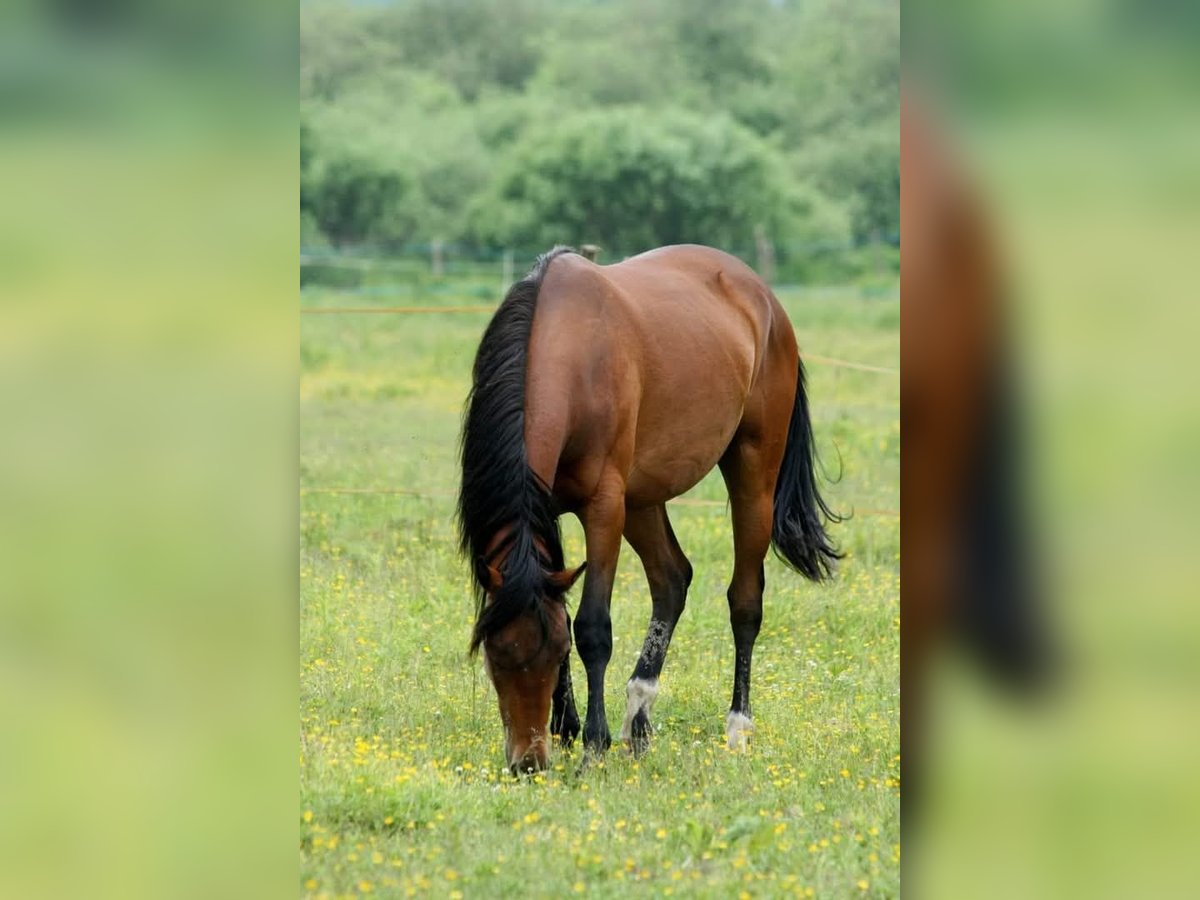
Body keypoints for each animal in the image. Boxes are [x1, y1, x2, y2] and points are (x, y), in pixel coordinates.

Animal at [453, 244, 840, 777]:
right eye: (494, 656)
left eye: (550, 656)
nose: (528, 763)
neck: (569, 352)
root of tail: (765, 299)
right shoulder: (548, 509)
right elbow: (563, 610)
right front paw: (568, 729)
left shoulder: (604, 507)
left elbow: (591, 627)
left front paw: (592, 746)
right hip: (644, 498)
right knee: (672, 579)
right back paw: (638, 719)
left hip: (751, 475)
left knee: (745, 600)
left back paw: (737, 727)